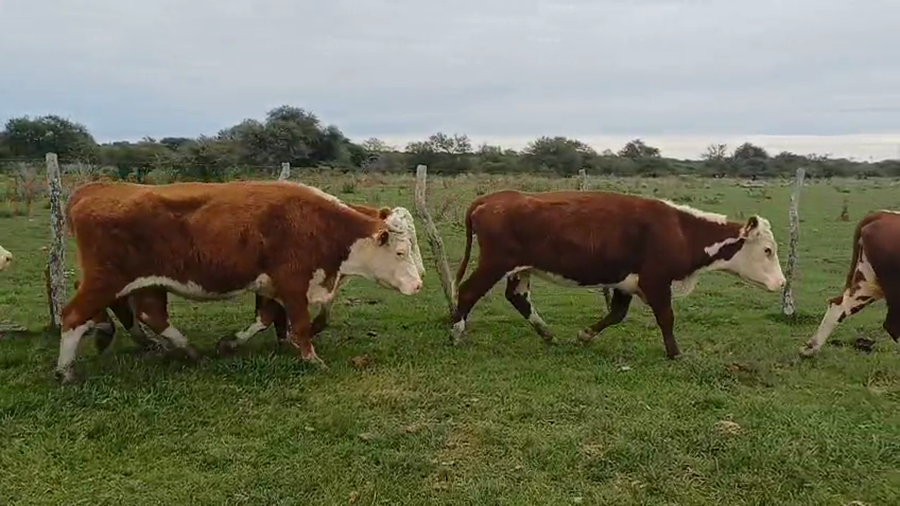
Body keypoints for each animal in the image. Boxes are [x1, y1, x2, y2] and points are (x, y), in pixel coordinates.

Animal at [450, 190, 786, 359]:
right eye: (768, 250)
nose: (782, 283)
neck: (679, 229)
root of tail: (491, 198)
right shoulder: (656, 281)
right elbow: (667, 318)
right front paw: (675, 353)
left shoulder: (627, 282)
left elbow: (616, 314)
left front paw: (585, 334)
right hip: (495, 263)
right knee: (467, 292)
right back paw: (456, 332)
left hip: (521, 268)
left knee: (518, 298)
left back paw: (546, 333)